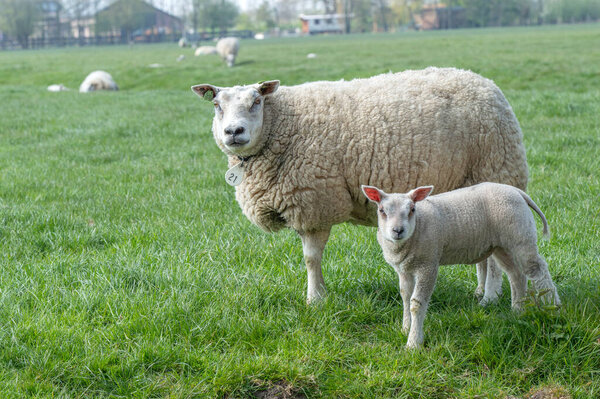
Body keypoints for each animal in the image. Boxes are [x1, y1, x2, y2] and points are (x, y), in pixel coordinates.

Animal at [190, 67, 528, 304]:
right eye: (216, 105)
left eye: (257, 101)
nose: (234, 131)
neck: (279, 127)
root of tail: (485, 83)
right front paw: (319, 296)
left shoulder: (315, 202)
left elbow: (311, 258)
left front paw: (315, 299)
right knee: (485, 250)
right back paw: (481, 292)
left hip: (496, 170)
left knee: (495, 256)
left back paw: (490, 297)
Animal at [360, 184, 564, 350]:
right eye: (381, 210)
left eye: (412, 209)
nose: (398, 231)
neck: (417, 228)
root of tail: (517, 191)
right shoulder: (404, 269)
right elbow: (404, 297)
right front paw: (405, 328)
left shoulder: (428, 264)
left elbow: (416, 303)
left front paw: (413, 343)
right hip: (500, 246)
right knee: (516, 275)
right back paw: (517, 311)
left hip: (521, 236)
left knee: (537, 269)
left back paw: (553, 307)